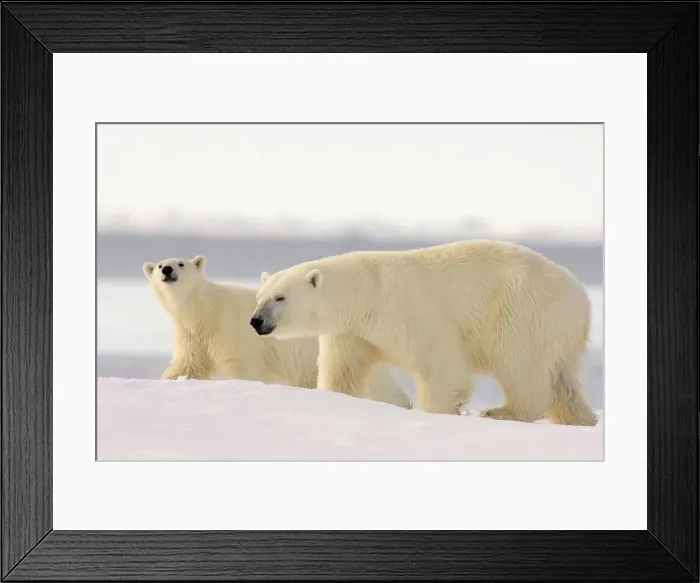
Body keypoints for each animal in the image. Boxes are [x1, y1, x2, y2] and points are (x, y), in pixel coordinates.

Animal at [142, 255, 412, 409]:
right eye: (159, 264)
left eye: (181, 263)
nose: (167, 270)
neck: (206, 310)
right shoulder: (192, 335)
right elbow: (186, 365)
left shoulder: (232, 332)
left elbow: (243, 369)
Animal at [250, 240, 598, 426]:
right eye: (259, 296)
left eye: (280, 298)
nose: (256, 321)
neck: (366, 292)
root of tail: (582, 300)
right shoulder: (352, 332)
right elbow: (343, 370)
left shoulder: (408, 311)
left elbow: (441, 362)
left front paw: (436, 412)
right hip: (557, 332)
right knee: (564, 383)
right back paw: (582, 420)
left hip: (521, 310)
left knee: (519, 363)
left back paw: (501, 412)